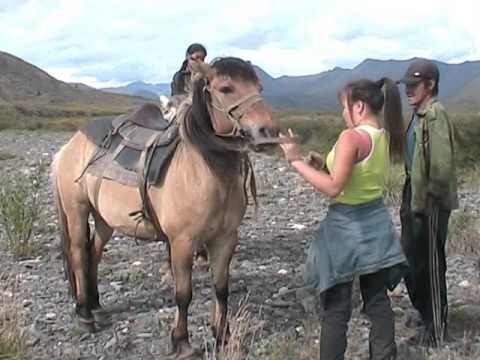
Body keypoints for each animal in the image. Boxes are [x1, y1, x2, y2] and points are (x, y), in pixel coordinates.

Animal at [50, 57, 280, 358]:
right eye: (226, 88)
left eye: (259, 87)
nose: (269, 133)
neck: (202, 171)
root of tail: (69, 146)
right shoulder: (182, 242)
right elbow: (183, 294)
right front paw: (181, 341)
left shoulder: (225, 239)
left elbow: (221, 288)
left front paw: (222, 335)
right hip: (76, 211)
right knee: (78, 254)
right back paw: (84, 314)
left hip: (105, 220)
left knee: (93, 253)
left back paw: (96, 305)